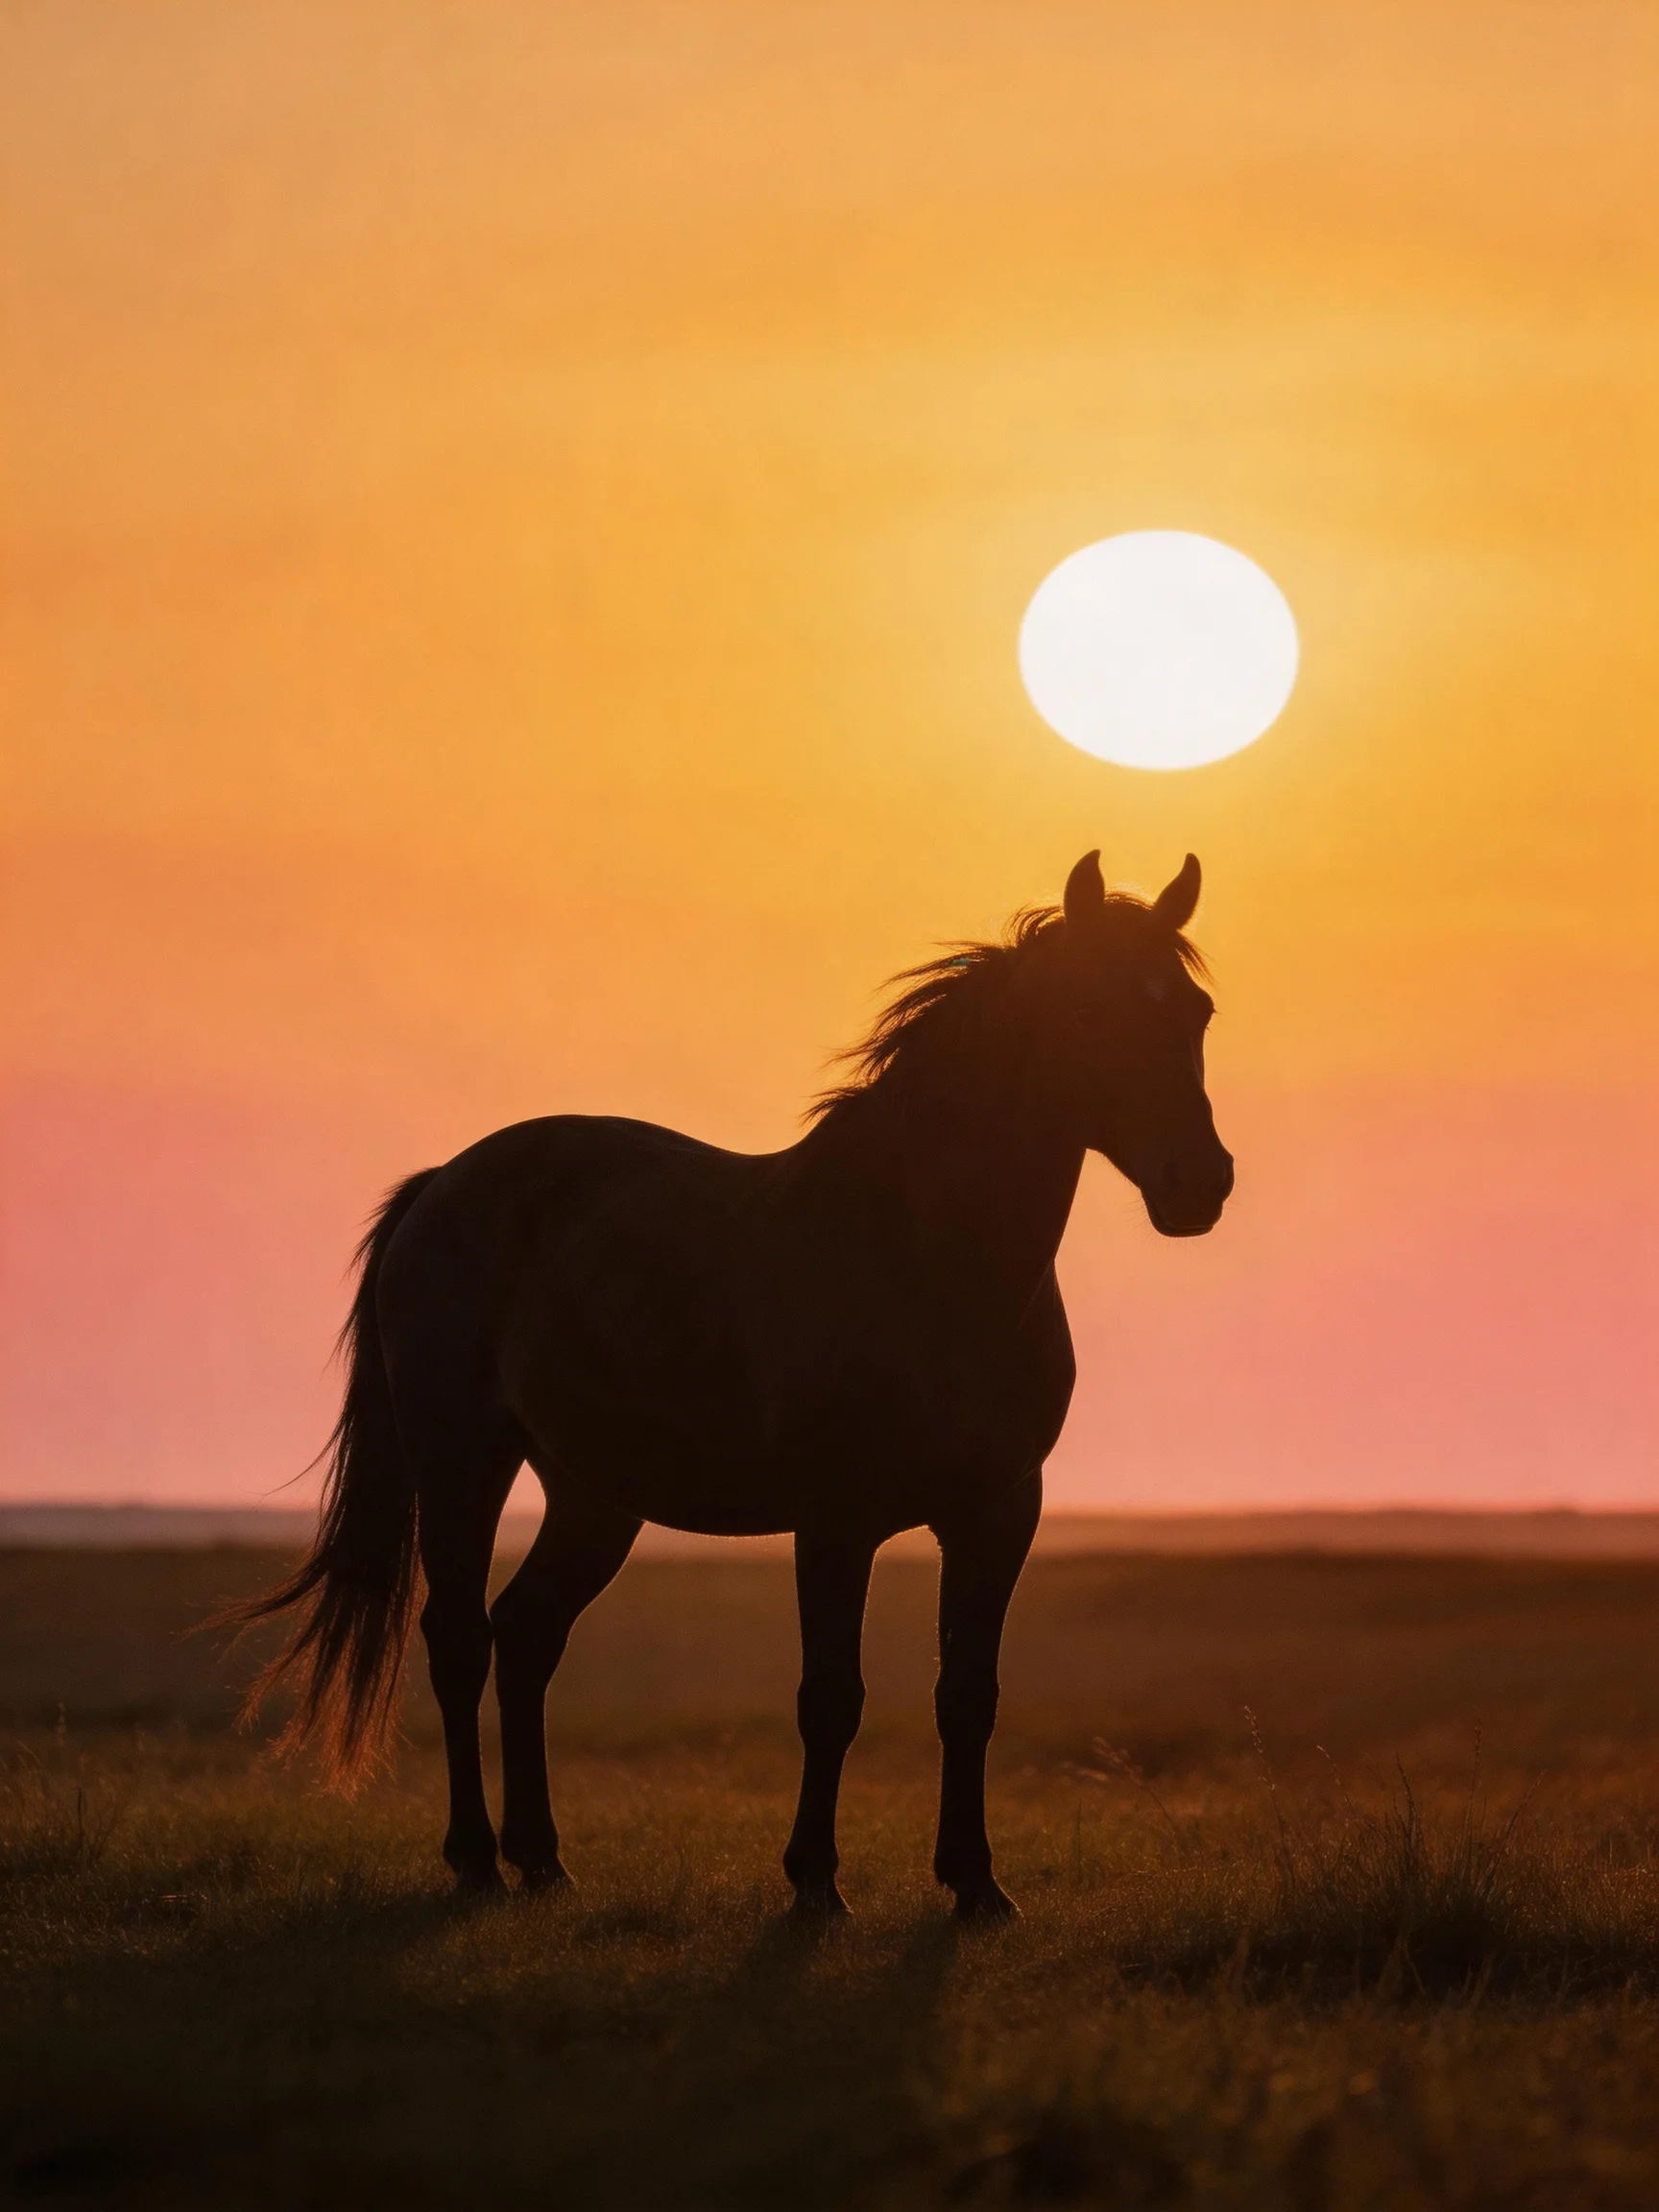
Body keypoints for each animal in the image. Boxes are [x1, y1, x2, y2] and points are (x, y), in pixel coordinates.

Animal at [236, 849, 1233, 1919]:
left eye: (1196, 1012)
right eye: (1089, 1011)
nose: (1200, 1182)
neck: (925, 1259)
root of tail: (443, 1184)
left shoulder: (999, 1514)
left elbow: (968, 1696)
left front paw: (976, 1883)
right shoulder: (836, 1520)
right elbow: (831, 1698)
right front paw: (815, 1883)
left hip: (593, 1498)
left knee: (527, 1635)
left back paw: (543, 1860)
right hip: (463, 1463)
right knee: (460, 1639)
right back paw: (475, 1860)